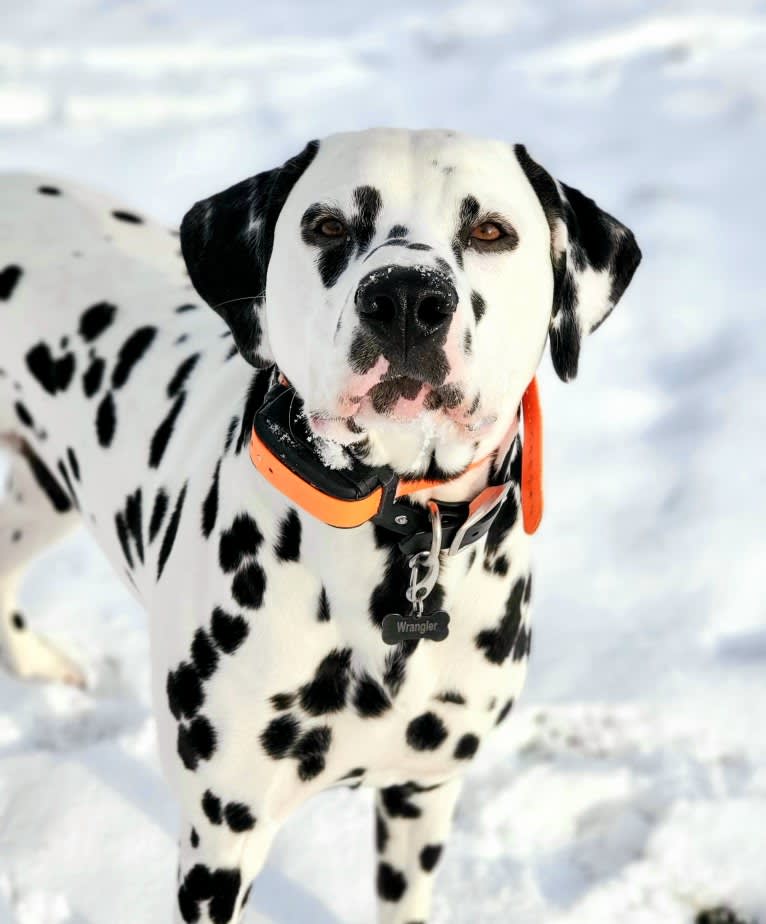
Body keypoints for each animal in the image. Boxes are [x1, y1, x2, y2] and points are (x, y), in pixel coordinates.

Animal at [0, 132, 640, 924]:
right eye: (328, 225)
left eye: (491, 230)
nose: (407, 299)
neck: (395, 538)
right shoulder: (221, 836)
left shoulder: (422, 794)